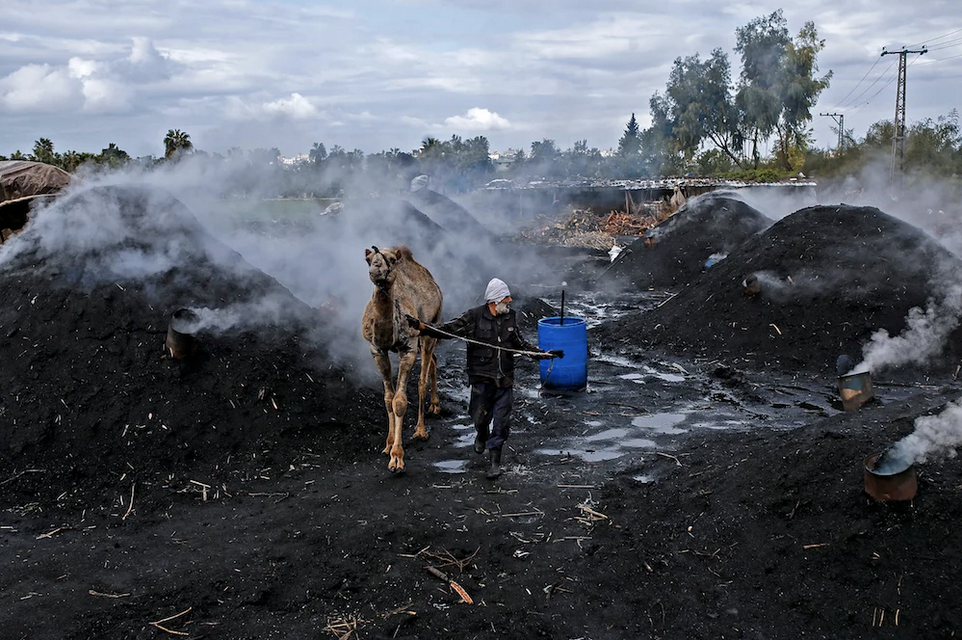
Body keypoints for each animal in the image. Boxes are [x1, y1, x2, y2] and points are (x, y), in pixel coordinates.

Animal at [360, 245, 442, 470]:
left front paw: (397, 457)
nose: (376, 271)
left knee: (422, 379)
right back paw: (435, 405)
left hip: (430, 328)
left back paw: (421, 429)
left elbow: (400, 400)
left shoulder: (408, 348)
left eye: (391, 260)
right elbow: (388, 398)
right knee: (433, 361)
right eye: (369, 259)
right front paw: (388, 445)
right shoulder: (377, 350)